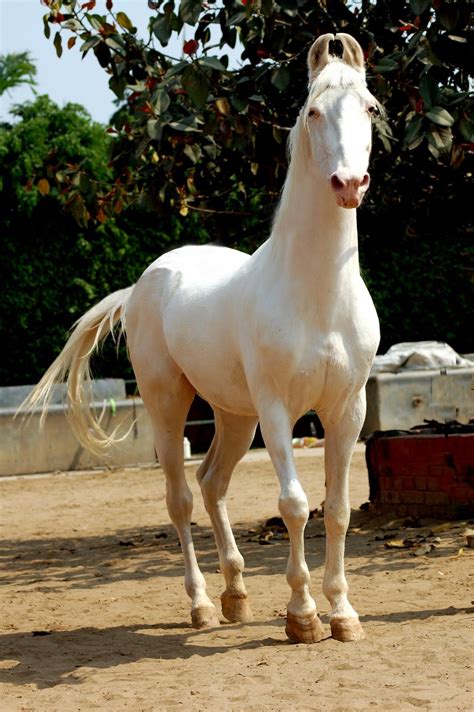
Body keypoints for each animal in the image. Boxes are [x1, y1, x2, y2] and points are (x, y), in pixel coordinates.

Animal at [25, 34, 382, 644]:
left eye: (372, 109)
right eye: (313, 111)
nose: (348, 185)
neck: (317, 296)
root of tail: (143, 283)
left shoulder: (346, 409)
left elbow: (336, 509)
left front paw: (343, 614)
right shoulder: (278, 410)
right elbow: (294, 504)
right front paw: (303, 615)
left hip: (234, 416)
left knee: (213, 483)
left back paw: (236, 594)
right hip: (171, 405)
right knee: (181, 498)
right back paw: (201, 605)